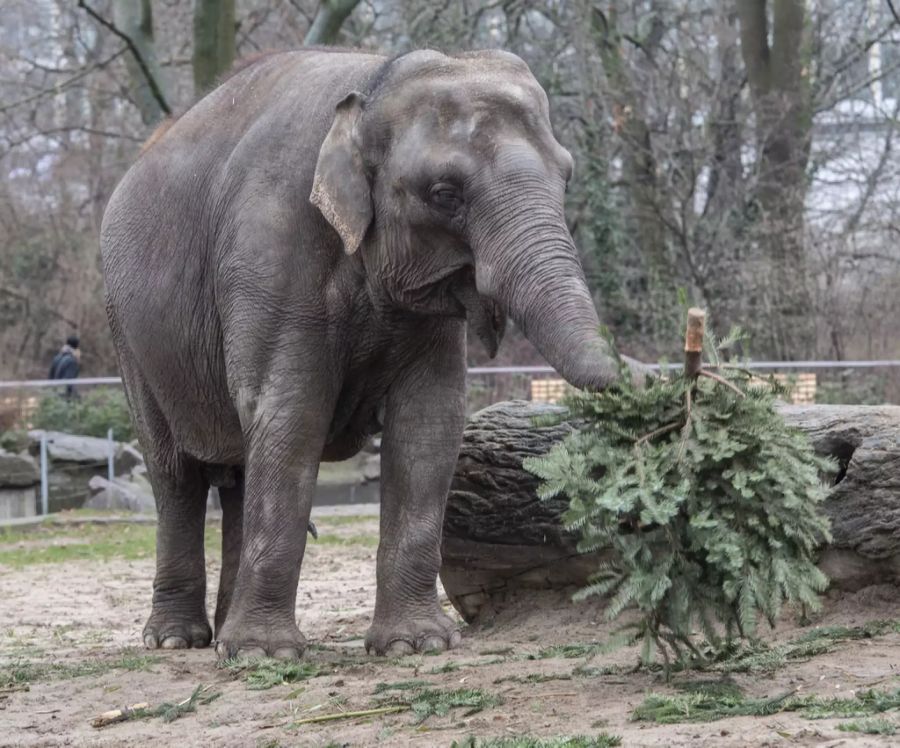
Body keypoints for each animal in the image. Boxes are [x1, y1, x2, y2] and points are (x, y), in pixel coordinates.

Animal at [102, 46, 644, 656]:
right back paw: (178, 641)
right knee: (174, 474)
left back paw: (222, 637)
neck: (374, 81)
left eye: (567, 176)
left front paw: (414, 646)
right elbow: (291, 415)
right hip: (127, 332)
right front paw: (268, 654)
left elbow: (429, 425)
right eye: (444, 193)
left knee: (238, 474)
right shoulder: (270, 251)